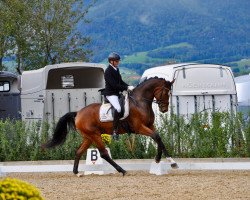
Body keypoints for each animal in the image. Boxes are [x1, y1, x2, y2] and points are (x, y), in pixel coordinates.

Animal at [43, 77, 178, 176]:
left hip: (88, 137)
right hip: (95, 135)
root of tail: (78, 113)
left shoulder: (150, 125)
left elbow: (159, 138)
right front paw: (167, 161)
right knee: (103, 153)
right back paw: (122, 170)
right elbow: (156, 137)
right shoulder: (139, 128)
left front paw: (163, 160)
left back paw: (76, 173)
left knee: (79, 151)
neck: (140, 102)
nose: (164, 109)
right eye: (165, 92)